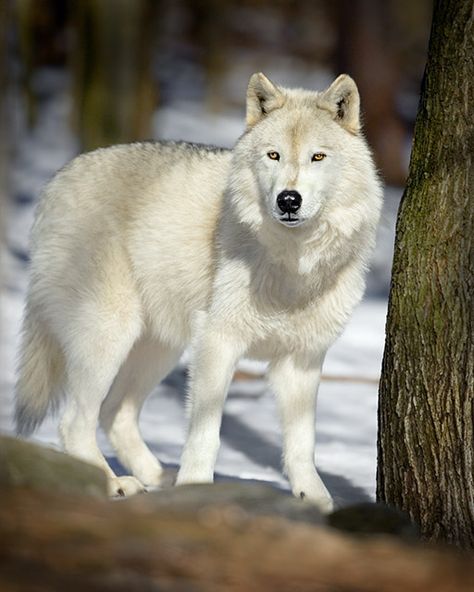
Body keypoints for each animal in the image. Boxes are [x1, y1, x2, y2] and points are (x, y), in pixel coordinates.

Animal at [15, 73, 382, 508]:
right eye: (273, 156)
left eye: (318, 157)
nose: (289, 200)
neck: (292, 263)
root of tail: (58, 178)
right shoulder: (217, 342)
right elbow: (205, 433)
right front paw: (196, 488)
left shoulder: (301, 361)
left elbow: (302, 445)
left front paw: (317, 502)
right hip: (109, 337)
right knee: (75, 421)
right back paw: (113, 485)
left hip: (159, 348)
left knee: (114, 414)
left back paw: (158, 477)